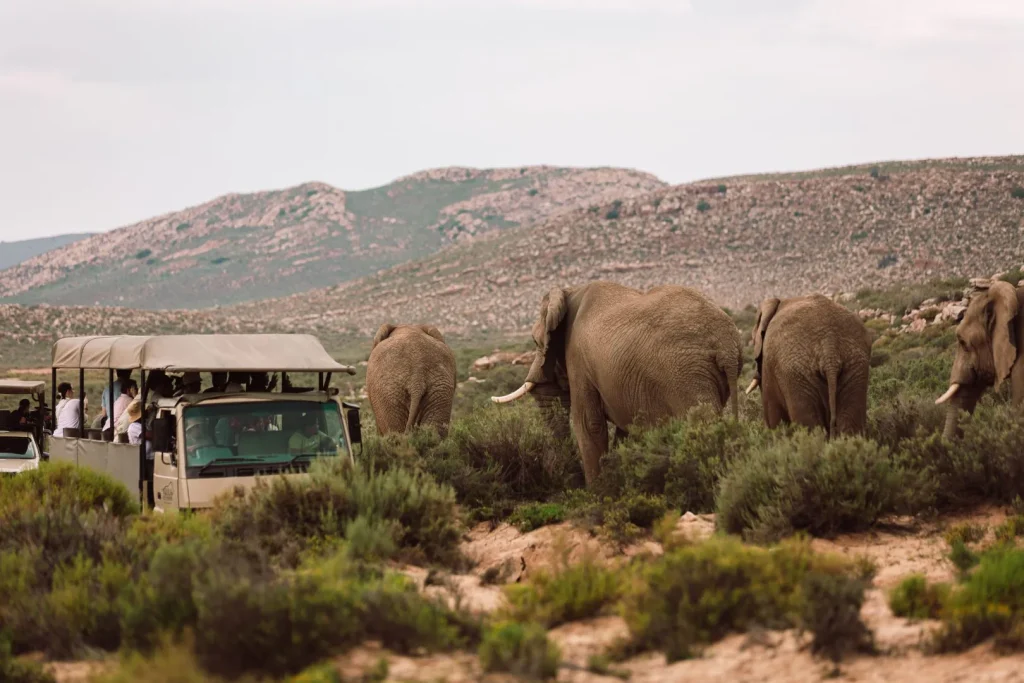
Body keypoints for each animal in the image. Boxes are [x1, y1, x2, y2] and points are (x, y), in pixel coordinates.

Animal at [492, 281, 743, 487]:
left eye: (536, 342)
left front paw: (597, 495)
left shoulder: (579, 359)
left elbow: (588, 424)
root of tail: (726, 344)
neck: (569, 292)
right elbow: (625, 430)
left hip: (687, 373)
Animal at [746, 294, 872, 436]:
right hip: (855, 365)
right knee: (850, 425)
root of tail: (829, 347)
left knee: (810, 426)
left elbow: (774, 417)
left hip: (796, 373)